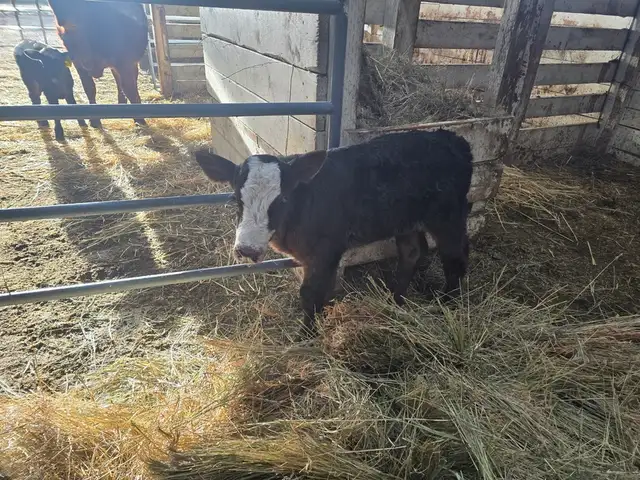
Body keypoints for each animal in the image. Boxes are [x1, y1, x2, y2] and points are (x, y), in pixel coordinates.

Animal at [194, 130, 474, 337]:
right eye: (235, 199)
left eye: (282, 199)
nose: (246, 249)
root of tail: (455, 139)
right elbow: (322, 290)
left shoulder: (326, 249)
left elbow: (311, 293)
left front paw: (306, 336)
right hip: (405, 220)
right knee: (412, 252)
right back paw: (395, 301)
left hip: (447, 217)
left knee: (454, 257)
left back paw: (447, 305)